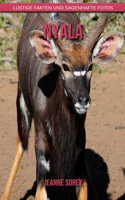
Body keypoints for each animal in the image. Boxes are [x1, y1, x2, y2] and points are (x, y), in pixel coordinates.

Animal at [1, 0, 124, 200]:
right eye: (65, 66)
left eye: (90, 66)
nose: (83, 100)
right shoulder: (42, 145)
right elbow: (41, 191)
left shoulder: (79, 144)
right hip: (21, 101)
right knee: (21, 143)